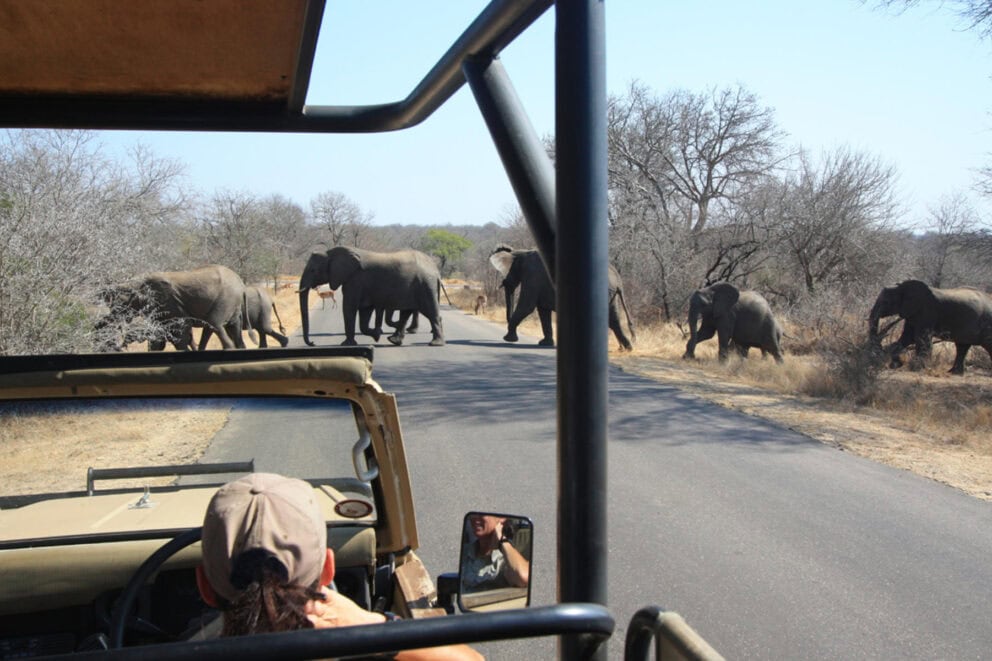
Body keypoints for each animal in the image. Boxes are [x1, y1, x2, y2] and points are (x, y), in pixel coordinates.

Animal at [96, 264, 248, 351]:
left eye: (120, 304)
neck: (137, 284)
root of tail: (241, 283)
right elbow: (157, 341)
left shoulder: (168, 303)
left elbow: (180, 334)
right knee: (234, 331)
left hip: (225, 299)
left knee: (215, 324)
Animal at [298, 246, 445, 347]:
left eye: (313, 270)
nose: (313, 343)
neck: (330, 253)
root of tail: (436, 270)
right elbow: (365, 312)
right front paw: (377, 335)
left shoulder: (355, 281)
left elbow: (349, 308)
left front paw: (347, 344)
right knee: (406, 312)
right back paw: (394, 340)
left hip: (425, 285)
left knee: (430, 312)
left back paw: (435, 343)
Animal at [488, 245, 636, 351]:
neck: (520, 252)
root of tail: (618, 280)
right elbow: (543, 311)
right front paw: (545, 343)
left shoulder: (532, 276)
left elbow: (527, 306)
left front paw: (508, 339)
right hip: (610, 295)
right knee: (613, 319)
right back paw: (628, 348)